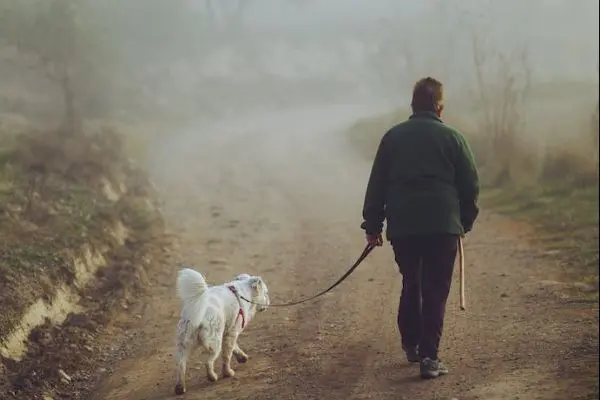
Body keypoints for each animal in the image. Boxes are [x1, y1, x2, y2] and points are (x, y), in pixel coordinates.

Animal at [172, 268, 268, 396]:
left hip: (183, 345)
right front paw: (228, 373)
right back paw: (213, 377)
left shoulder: (228, 331)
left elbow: (234, 348)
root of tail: (196, 312)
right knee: (208, 362)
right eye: (266, 293)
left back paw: (180, 388)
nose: (269, 302)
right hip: (214, 342)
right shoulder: (232, 331)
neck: (243, 292)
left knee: (181, 365)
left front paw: (242, 357)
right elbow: (227, 355)